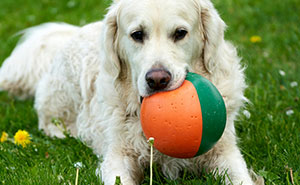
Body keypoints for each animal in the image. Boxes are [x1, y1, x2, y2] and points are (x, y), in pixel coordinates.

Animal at [0, 0, 262, 184]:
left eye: (180, 33)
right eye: (137, 34)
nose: (158, 80)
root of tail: (72, 33)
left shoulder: (224, 151)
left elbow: (240, 177)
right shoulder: (118, 156)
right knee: (49, 121)